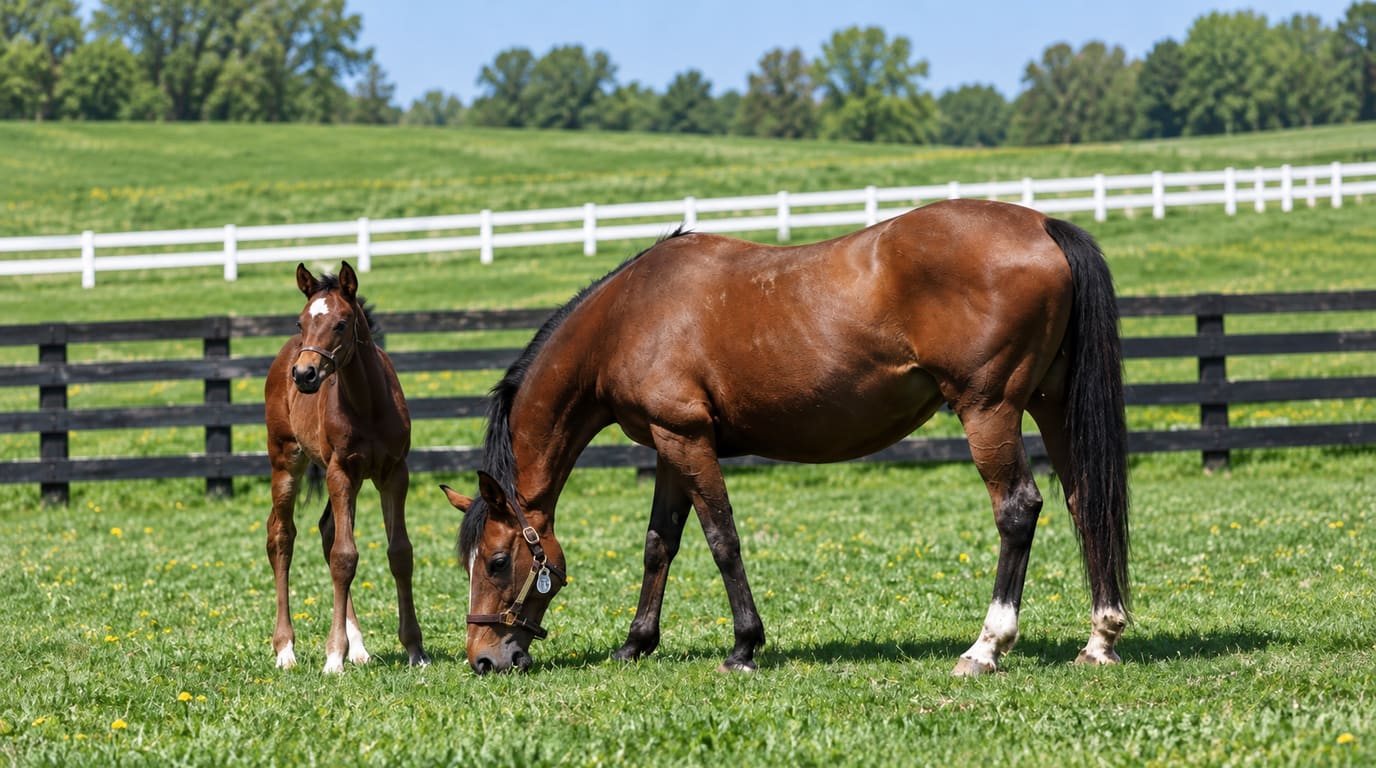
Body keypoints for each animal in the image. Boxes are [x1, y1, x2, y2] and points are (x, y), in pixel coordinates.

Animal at [264, 261, 428, 674]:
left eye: (341, 323)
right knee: (281, 536)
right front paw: (332, 657)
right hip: (286, 461)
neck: (368, 403)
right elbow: (345, 557)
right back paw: (286, 649)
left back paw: (359, 648)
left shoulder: (394, 473)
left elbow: (399, 553)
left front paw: (415, 649)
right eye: (301, 321)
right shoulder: (340, 471)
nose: (304, 374)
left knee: (326, 530)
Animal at [443, 198, 1130, 676]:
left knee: (1018, 509)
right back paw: (1100, 638)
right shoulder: (670, 446)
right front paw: (636, 645)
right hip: (1051, 407)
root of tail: (1042, 225)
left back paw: (986, 648)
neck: (628, 317)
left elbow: (722, 540)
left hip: (988, 409)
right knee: (1085, 503)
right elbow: (659, 545)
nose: (483, 658)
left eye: (498, 561)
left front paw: (744, 646)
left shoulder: (688, 440)